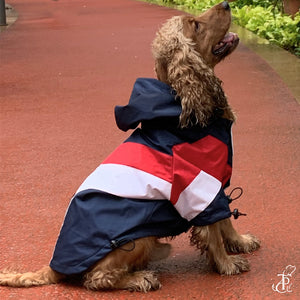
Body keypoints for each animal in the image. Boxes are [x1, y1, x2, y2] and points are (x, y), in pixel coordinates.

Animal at [0, 1, 260, 292]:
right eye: (196, 25)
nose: (226, 4)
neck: (184, 103)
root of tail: (54, 266)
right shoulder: (199, 187)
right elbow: (214, 229)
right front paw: (227, 264)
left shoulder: (217, 182)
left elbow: (225, 221)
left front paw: (240, 241)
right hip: (137, 238)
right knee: (97, 278)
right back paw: (140, 278)